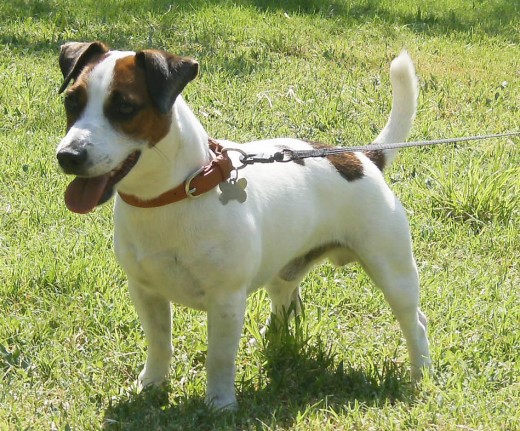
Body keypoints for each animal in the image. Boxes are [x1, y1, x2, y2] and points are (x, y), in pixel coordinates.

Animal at [55, 41, 430, 412]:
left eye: (124, 107)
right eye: (71, 101)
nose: (68, 156)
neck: (172, 195)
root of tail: (364, 157)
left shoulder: (226, 300)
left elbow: (220, 358)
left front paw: (220, 405)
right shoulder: (146, 291)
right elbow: (159, 343)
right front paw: (151, 385)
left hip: (393, 272)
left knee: (415, 322)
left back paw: (420, 374)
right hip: (283, 269)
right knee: (286, 303)